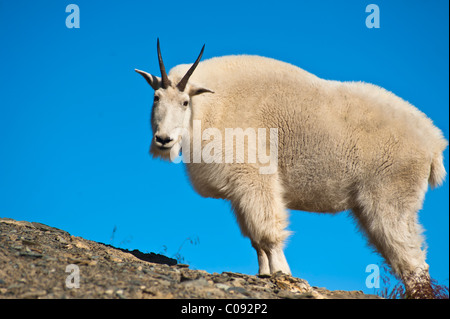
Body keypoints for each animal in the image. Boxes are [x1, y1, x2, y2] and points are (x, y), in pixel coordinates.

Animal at [135, 40, 448, 300]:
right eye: (155, 98)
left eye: (185, 102)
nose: (163, 140)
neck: (208, 107)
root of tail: (433, 143)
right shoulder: (238, 191)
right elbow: (255, 239)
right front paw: (263, 274)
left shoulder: (255, 177)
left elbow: (268, 232)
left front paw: (283, 274)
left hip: (391, 195)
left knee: (412, 257)